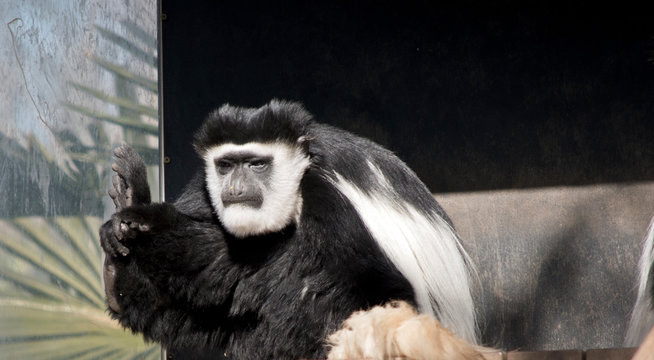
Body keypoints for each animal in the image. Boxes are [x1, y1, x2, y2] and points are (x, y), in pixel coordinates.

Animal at [102, 100, 480, 358]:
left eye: (257, 164)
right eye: (226, 165)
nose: (235, 189)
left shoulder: (332, 199)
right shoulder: (204, 188)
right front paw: (137, 218)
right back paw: (118, 272)